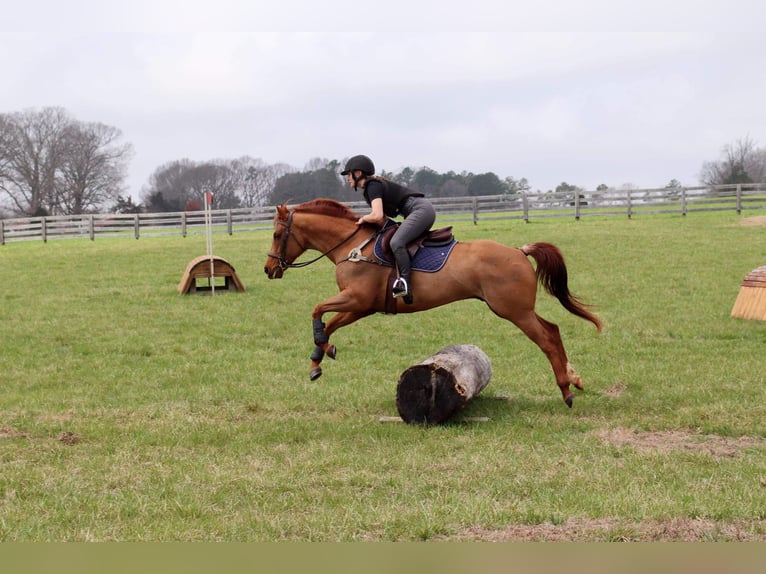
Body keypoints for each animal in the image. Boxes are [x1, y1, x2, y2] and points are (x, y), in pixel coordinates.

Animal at [268, 200, 604, 408]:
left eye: (275, 234)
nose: (268, 269)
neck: (353, 247)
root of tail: (519, 251)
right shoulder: (362, 307)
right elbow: (328, 325)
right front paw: (319, 359)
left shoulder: (357, 299)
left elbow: (317, 310)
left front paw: (319, 355)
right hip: (517, 310)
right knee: (554, 330)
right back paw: (575, 380)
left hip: (514, 311)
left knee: (547, 338)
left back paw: (566, 389)